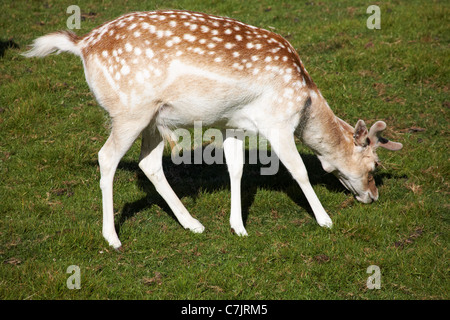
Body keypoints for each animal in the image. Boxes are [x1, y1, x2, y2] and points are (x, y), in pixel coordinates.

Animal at [23, 9, 404, 248]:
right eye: (374, 165)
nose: (373, 196)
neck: (306, 98)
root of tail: (83, 44)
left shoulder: (232, 123)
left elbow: (236, 168)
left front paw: (239, 227)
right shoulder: (277, 121)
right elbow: (299, 171)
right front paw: (324, 220)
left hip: (153, 118)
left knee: (148, 162)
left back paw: (193, 224)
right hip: (130, 111)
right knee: (106, 157)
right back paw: (112, 238)